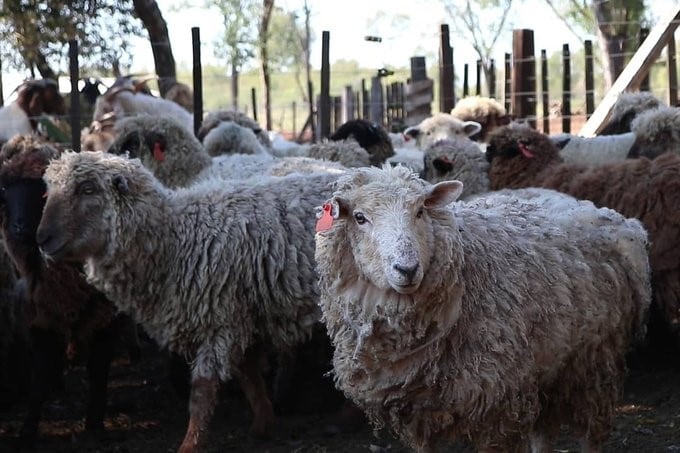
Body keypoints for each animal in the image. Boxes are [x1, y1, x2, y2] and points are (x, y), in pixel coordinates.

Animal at [0, 135, 139, 444]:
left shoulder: (105, 318)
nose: (19, 228)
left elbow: (98, 371)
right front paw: (28, 429)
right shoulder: (41, 316)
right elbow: (40, 375)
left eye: (43, 193)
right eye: (5, 191)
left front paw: (95, 425)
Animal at [33, 151, 340, 452]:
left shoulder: (219, 321)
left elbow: (202, 392)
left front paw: (190, 445)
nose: (42, 239)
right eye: (48, 191)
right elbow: (248, 374)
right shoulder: (240, 316)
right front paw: (262, 423)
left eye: (87, 189)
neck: (174, 238)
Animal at [316, 165, 652, 452]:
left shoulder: (498, 405)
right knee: (545, 430)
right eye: (360, 217)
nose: (407, 268)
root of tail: (614, 218)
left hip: (595, 359)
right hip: (550, 363)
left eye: (420, 210)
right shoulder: (415, 414)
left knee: (591, 433)